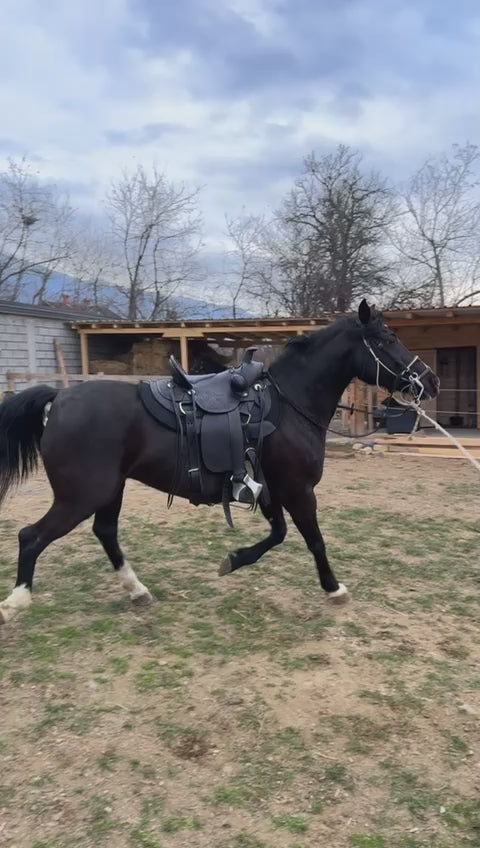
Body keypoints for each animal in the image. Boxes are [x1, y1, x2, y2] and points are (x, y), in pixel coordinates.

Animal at [0, 300, 439, 625]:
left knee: (105, 532)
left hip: (109, 490)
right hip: (81, 496)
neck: (288, 404)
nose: (430, 380)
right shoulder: (298, 491)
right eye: (386, 338)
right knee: (31, 536)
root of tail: (59, 400)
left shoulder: (270, 491)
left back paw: (138, 591)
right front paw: (334, 589)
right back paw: (16, 602)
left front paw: (234, 560)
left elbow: (278, 535)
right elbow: (314, 540)